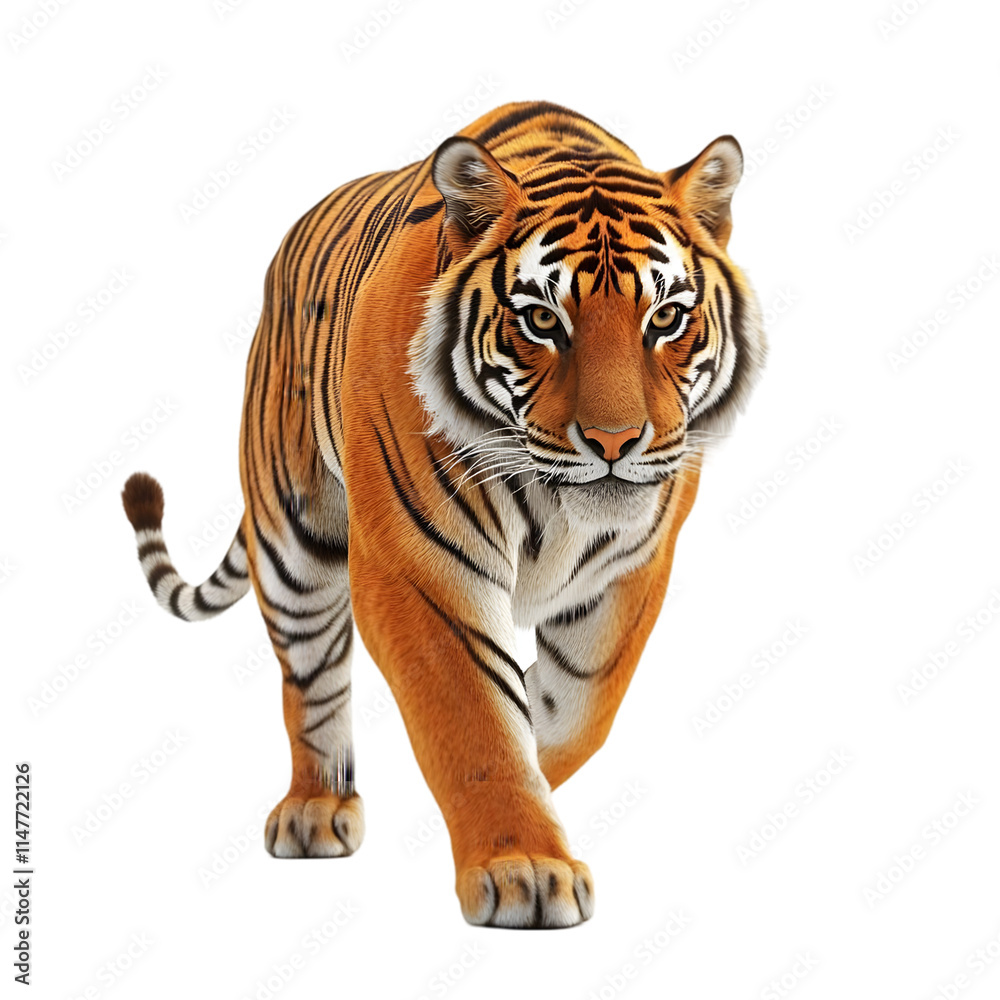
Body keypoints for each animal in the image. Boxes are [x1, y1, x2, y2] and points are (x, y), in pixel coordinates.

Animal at [121, 100, 766, 929]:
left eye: (667, 317)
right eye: (541, 320)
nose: (616, 441)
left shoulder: (633, 569)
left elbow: (581, 704)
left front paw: (537, 757)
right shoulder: (420, 566)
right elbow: (475, 718)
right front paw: (525, 867)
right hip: (294, 539)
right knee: (310, 680)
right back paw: (314, 810)